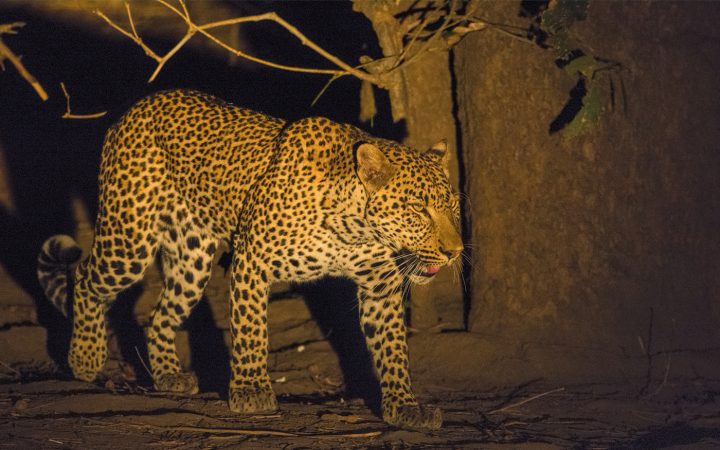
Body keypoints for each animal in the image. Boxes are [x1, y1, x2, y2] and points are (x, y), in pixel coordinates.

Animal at [39, 89, 464, 430]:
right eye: (419, 209)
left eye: (454, 208)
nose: (454, 251)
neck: (354, 228)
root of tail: (138, 106)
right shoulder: (252, 259)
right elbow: (250, 330)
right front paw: (251, 391)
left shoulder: (381, 287)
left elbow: (392, 350)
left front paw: (404, 406)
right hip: (129, 237)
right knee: (85, 278)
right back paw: (85, 357)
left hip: (192, 260)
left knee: (161, 312)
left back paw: (169, 375)